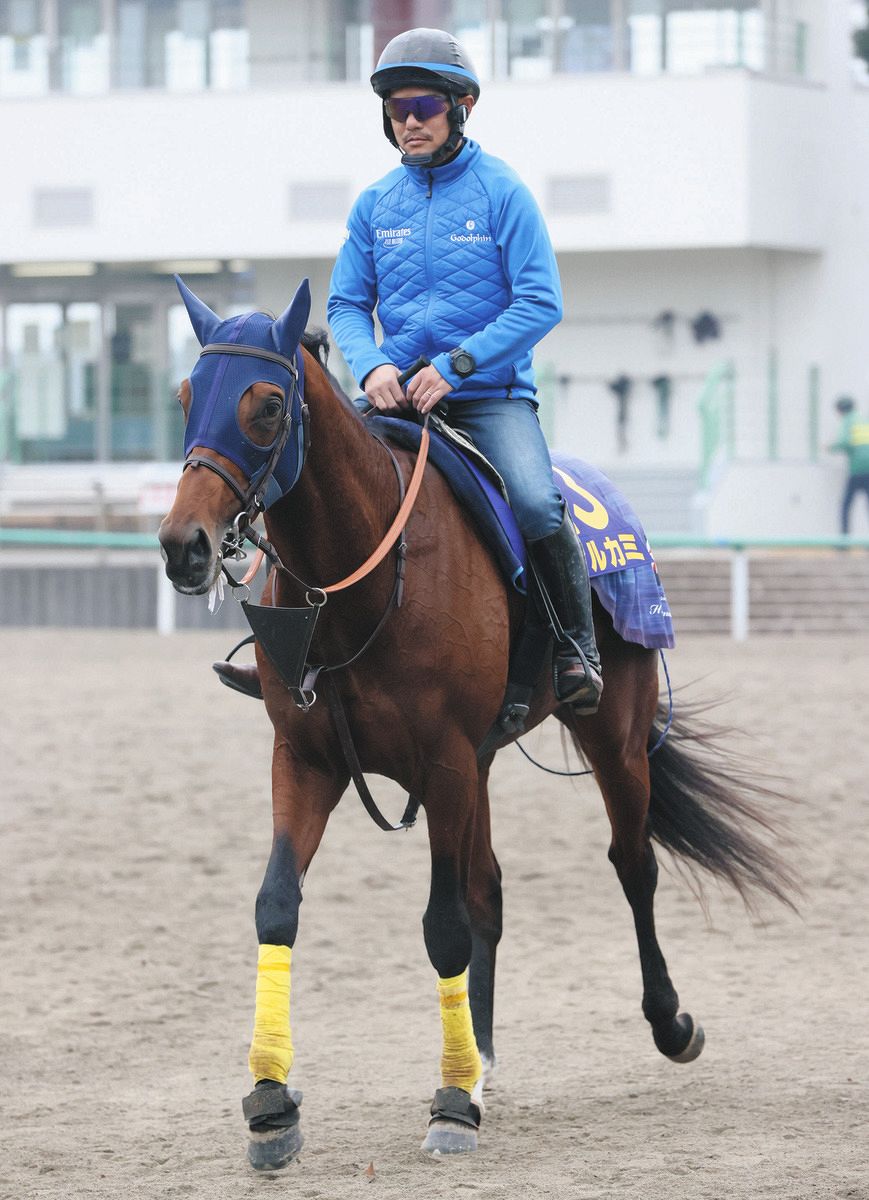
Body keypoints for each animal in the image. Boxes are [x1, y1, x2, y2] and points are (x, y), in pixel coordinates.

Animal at [157, 277, 796, 1171]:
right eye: (187, 396)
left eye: (268, 405)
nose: (184, 545)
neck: (362, 583)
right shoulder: (307, 759)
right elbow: (278, 905)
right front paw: (273, 1103)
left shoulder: (446, 762)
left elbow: (444, 926)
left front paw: (451, 1103)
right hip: (485, 763)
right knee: (491, 887)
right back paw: (481, 1055)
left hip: (612, 734)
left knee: (632, 863)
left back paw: (666, 1022)